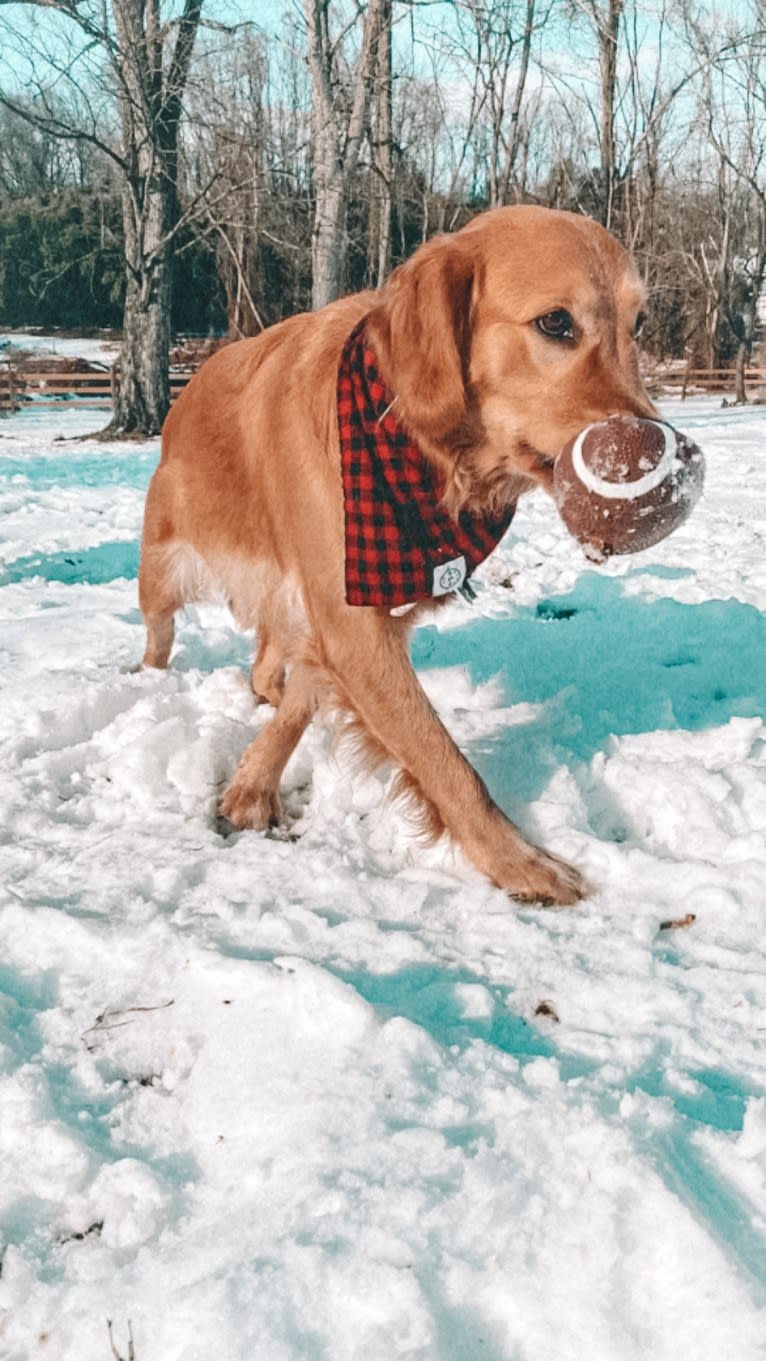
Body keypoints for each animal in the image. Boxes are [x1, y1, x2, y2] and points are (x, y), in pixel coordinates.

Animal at [138, 204, 653, 903]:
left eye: (638, 324)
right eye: (555, 323)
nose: (654, 445)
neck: (419, 446)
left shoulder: (346, 617)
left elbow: (309, 694)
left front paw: (251, 786)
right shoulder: (353, 620)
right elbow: (444, 761)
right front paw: (519, 861)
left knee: (271, 659)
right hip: (162, 566)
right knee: (160, 633)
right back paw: (149, 679)